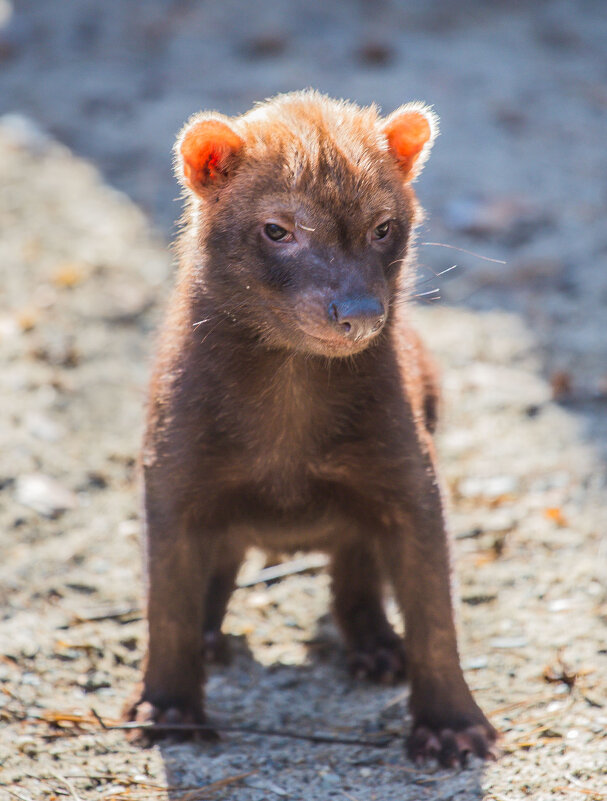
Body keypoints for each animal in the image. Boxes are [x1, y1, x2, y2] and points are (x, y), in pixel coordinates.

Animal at [127, 90, 498, 764]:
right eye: (278, 228)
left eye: (383, 226)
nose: (359, 312)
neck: (287, 422)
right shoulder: (170, 474)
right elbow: (166, 603)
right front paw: (166, 711)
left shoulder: (410, 479)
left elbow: (435, 613)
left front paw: (453, 727)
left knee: (354, 568)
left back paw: (377, 651)